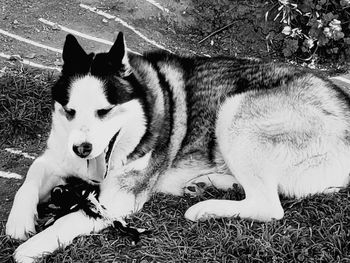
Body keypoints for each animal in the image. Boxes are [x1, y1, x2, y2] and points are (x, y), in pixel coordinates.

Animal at [5, 32, 350, 262]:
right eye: (70, 111)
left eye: (105, 111)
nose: (82, 149)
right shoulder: (57, 155)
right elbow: (32, 175)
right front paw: (20, 220)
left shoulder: (118, 199)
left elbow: (72, 218)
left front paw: (32, 247)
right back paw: (209, 183)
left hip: (234, 110)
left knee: (268, 205)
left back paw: (204, 208)